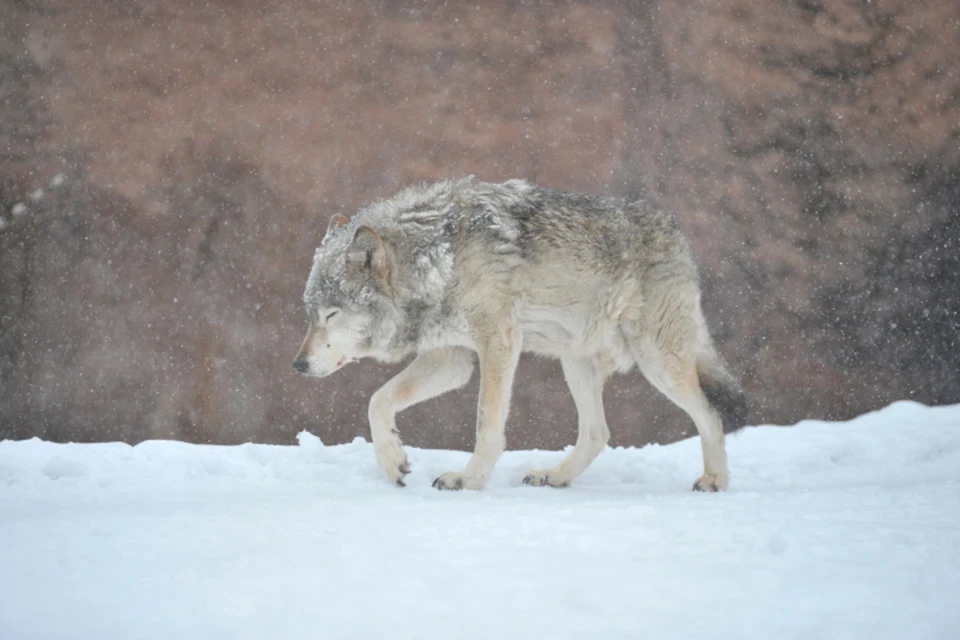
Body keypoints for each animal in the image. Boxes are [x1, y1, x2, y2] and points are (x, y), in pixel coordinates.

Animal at [292, 178, 752, 492]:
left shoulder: (499, 342)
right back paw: (555, 476)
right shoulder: (452, 360)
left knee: (710, 414)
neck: (439, 260)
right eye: (310, 314)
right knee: (598, 434)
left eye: (331, 314)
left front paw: (470, 480)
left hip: (658, 362)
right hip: (576, 363)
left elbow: (486, 422)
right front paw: (392, 462)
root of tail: (676, 231)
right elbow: (377, 401)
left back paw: (715, 480)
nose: (297, 364)